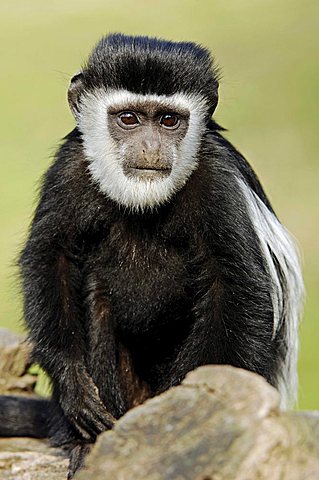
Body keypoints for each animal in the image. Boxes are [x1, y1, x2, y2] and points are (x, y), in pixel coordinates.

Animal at [0, 32, 304, 476]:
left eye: (168, 121)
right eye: (128, 119)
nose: (149, 146)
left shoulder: (219, 182)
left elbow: (236, 287)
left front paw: (192, 414)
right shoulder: (70, 168)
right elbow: (52, 258)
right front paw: (75, 387)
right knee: (96, 291)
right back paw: (90, 443)